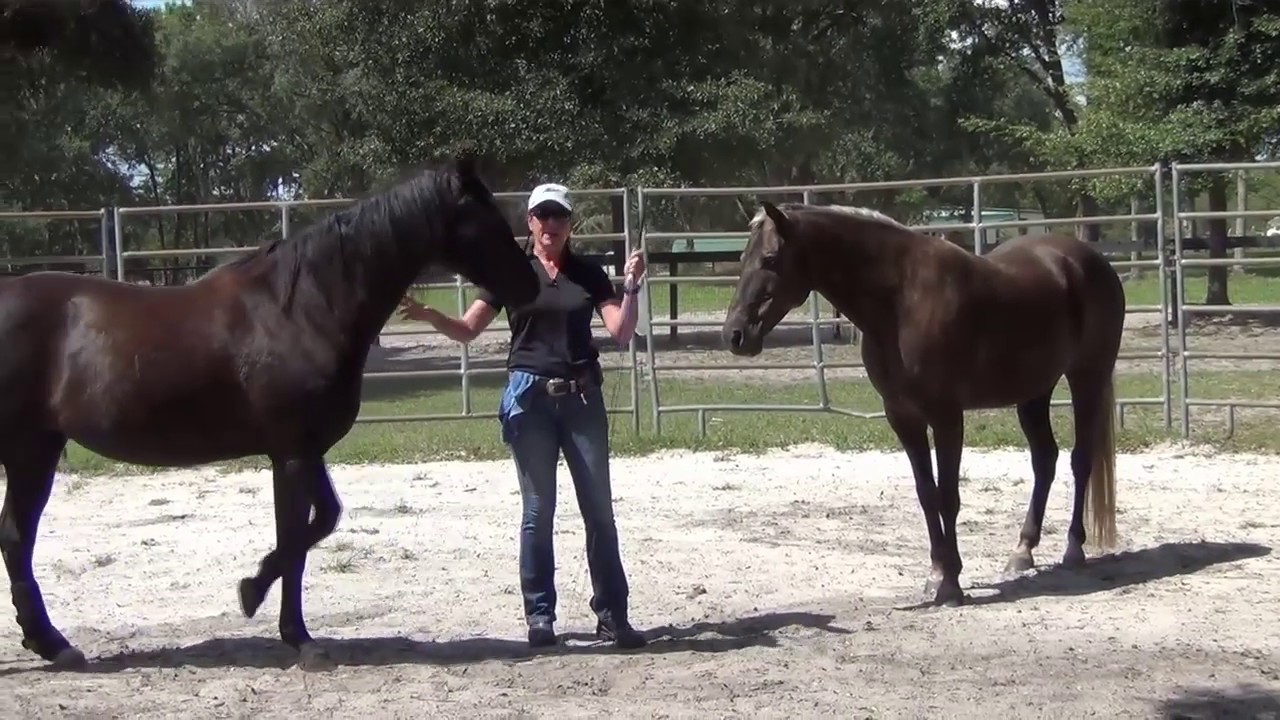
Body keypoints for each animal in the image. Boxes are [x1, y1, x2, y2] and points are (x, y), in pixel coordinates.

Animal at [0, 154, 541, 671]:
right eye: (485, 219)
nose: (532, 284)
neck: (301, 309)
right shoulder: (291, 454)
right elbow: (296, 539)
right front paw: (298, 638)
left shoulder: (304, 449)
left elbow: (320, 522)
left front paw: (252, 588)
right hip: (28, 452)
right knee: (16, 538)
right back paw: (50, 643)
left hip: (37, 450)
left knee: (16, 538)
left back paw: (50, 644)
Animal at [722, 201, 1124, 607]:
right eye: (743, 257)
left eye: (770, 259)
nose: (735, 335)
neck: (901, 302)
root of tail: (1089, 260)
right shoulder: (903, 417)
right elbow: (926, 494)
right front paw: (937, 574)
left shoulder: (946, 417)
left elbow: (948, 496)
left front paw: (951, 584)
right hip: (1033, 392)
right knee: (1045, 460)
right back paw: (1022, 552)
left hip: (1087, 377)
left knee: (1080, 460)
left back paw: (1073, 548)